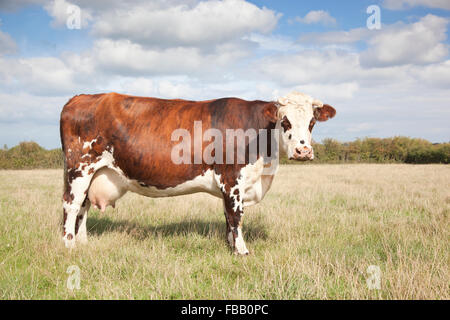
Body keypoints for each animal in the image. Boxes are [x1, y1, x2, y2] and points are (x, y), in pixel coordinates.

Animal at [59, 90, 334, 255]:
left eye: (312, 122)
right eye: (285, 121)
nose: (303, 151)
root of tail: (81, 97)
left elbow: (227, 217)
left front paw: (230, 246)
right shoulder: (232, 179)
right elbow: (236, 216)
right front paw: (242, 252)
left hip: (92, 173)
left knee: (83, 206)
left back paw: (83, 243)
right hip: (79, 168)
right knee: (70, 206)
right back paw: (68, 244)